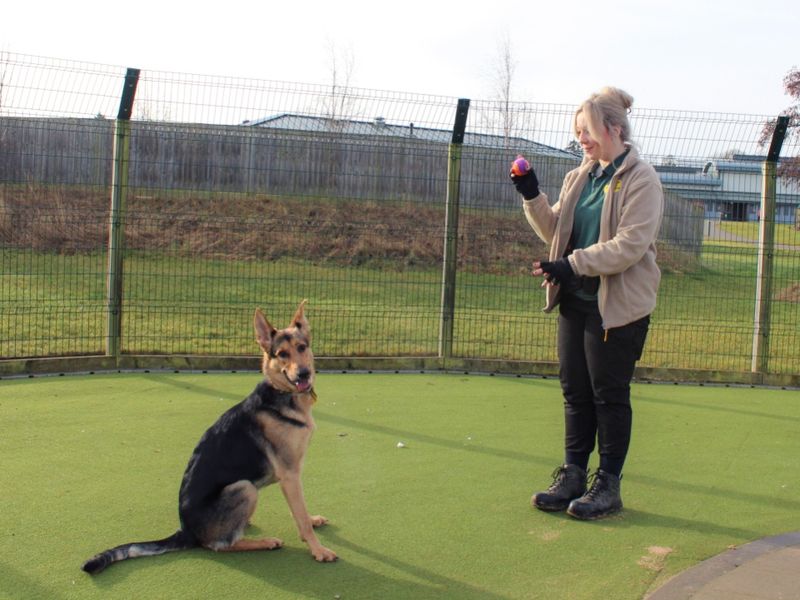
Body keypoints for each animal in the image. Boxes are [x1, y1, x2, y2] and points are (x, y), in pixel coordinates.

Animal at [78, 302, 334, 576]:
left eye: (302, 347)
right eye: (282, 354)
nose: (304, 374)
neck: (281, 393)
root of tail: (186, 531)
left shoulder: (292, 475)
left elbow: (301, 514)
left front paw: (312, 523)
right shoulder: (290, 475)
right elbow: (300, 515)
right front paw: (318, 550)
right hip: (244, 488)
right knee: (219, 545)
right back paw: (263, 542)